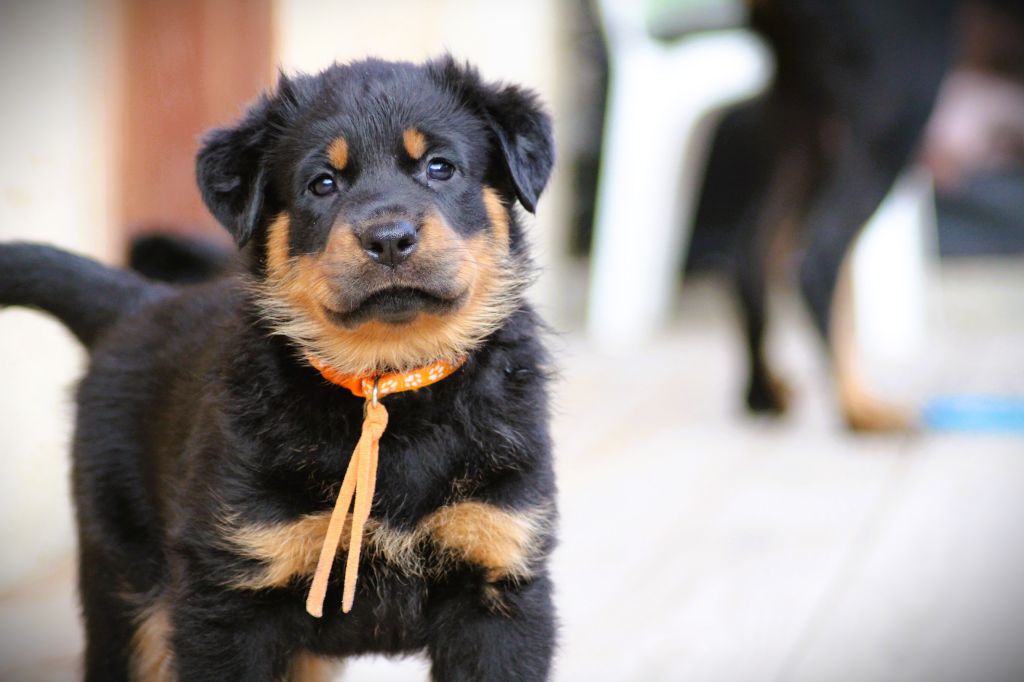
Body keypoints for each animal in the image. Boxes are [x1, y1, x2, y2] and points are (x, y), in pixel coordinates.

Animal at [0, 56, 557, 681]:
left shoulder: (499, 580)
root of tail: (140, 300)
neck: (386, 384)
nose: (389, 238)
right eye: (323, 183)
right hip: (126, 581)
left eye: (441, 168)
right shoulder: (233, 598)